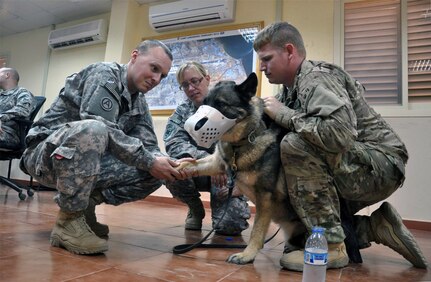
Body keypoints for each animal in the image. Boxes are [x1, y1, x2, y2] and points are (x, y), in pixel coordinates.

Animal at [177, 72, 306, 264]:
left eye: (221, 105)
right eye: (204, 103)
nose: (192, 127)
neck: (241, 143)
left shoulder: (264, 198)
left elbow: (257, 231)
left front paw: (247, 255)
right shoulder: (216, 163)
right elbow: (190, 164)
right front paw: (172, 168)